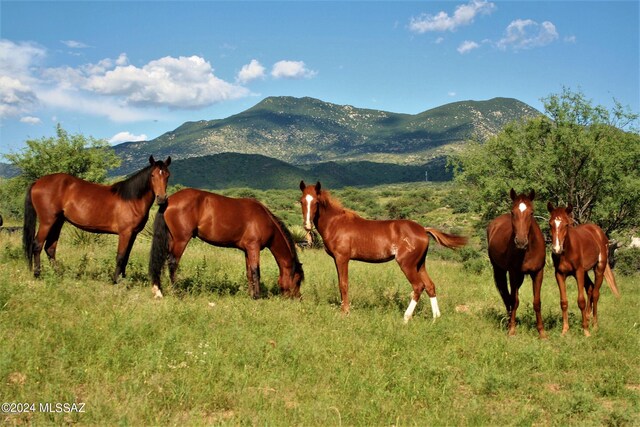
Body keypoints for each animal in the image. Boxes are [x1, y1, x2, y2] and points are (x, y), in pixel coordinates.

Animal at [24, 155, 171, 282]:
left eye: (167, 175)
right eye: (152, 175)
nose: (161, 198)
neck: (131, 200)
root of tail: (37, 182)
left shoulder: (133, 234)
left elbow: (126, 257)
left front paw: (123, 279)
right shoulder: (125, 233)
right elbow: (120, 256)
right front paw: (115, 281)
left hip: (58, 222)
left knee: (50, 248)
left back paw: (58, 274)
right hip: (47, 222)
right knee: (37, 245)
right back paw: (37, 274)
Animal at [149, 189, 304, 300]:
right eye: (297, 281)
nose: (297, 298)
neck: (265, 220)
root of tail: (168, 200)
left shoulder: (247, 250)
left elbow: (249, 272)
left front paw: (251, 295)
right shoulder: (254, 247)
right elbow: (256, 272)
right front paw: (257, 297)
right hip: (181, 240)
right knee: (172, 263)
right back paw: (177, 293)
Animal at [298, 179, 468, 322]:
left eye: (316, 202)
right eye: (301, 201)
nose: (307, 225)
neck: (336, 223)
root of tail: (423, 230)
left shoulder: (342, 258)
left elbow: (343, 284)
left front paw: (345, 312)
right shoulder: (337, 259)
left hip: (407, 264)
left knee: (418, 286)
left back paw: (406, 318)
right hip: (420, 264)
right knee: (430, 286)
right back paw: (435, 318)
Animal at [488, 188, 548, 338]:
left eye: (531, 212)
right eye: (512, 212)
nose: (521, 241)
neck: (528, 250)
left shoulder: (538, 273)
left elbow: (537, 302)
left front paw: (542, 332)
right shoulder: (513, 273)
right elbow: (514, 300)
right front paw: (512, 330)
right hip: (499, 270)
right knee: (506, 295)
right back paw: (509, 321)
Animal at [544, 204, 620, 338]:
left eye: (566, 224)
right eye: (550, 224)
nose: (556, 249)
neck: (567, 251)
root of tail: (598, 231)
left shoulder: (578, 272)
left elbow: (581, 301)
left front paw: (586, 331)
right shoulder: (559, 274)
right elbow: (564, 302)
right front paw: (565, 330)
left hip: (599, 268)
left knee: (595, 294)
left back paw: (594, 326)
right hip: (585, 272)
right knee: (590, 288)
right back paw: (588, 318)